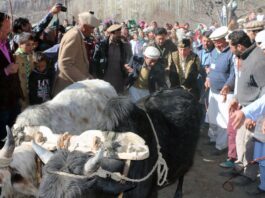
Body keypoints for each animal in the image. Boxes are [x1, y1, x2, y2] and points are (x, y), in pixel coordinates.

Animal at [35, 88, 200, 198]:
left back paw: (178, 192)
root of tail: (184, 91)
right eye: (41, 193)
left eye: (75, 196)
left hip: (187, 160)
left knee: (183, 174)